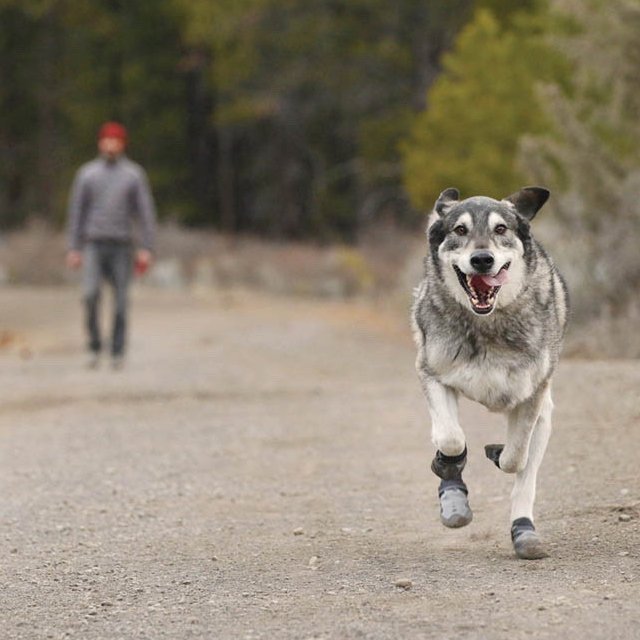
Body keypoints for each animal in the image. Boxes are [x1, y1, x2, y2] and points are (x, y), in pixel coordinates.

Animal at [412, 186, 568, 560]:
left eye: (501, 229)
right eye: (460, 230)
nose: (482, 259)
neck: (487, 323)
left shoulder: (532, 396)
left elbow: (515, 458)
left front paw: (498, 453)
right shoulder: (432, 373)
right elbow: (451, 439)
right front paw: (448, 469)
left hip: (545, 414)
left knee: (525, 476)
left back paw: (525, 534)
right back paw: (454, 499)